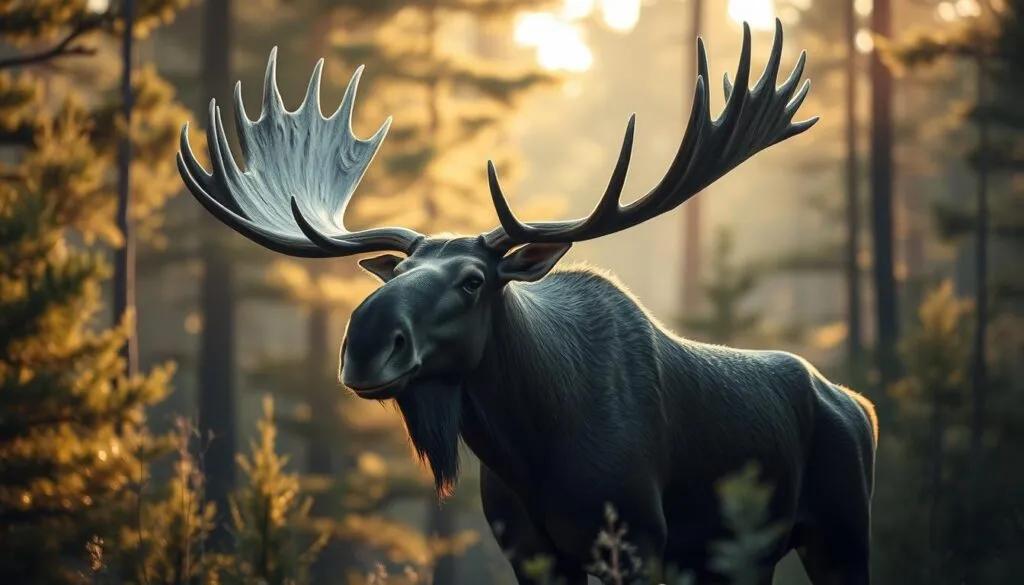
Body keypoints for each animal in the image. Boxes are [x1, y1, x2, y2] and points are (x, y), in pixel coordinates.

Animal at [177, 19, 878, 585]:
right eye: (394, 272)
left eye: (473, 281)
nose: (367, 345)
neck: (532, 444)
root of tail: (860, 407)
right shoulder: (528, 549)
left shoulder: (640, 537)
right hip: (741, 555)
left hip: (842, 532)